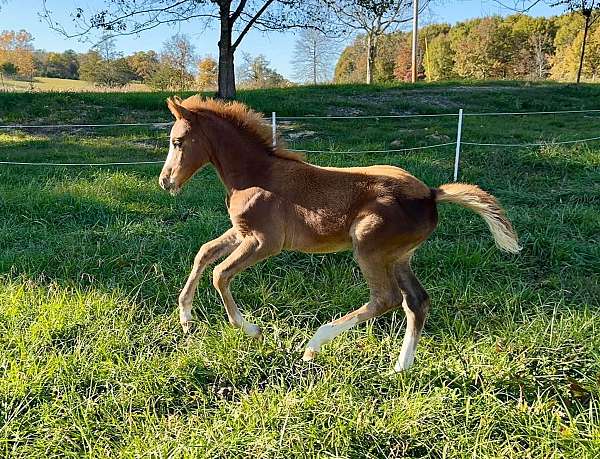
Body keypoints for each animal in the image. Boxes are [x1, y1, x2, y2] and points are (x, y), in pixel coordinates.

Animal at [159, 95, 520, 372]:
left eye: (178, 142)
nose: (166, 181)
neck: (256, 175)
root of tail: (431, 194)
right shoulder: (241, 232)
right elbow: (204, 253)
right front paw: (186, 318)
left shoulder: (265, 241)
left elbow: (220, 273)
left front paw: (251, 329)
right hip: (399, 256)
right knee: (416, 301)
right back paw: (400, 367)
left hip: (369, 248)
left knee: (386, 299)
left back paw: (314, 345)